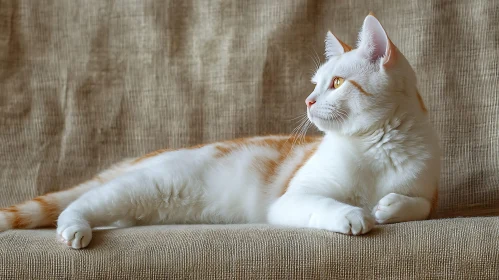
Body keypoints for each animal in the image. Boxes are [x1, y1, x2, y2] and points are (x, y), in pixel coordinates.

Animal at [0, 13, 440, 249]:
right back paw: (74, 230)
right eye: (316, 84)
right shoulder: (292, 198)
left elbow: (419, 206)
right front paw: (354, 214)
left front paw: (387, 206)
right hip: (143, 186)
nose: (308, 102)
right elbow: (329, 204)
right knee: (80, 203)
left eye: (335, 83)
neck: (374, 146)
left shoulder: (427, 192)